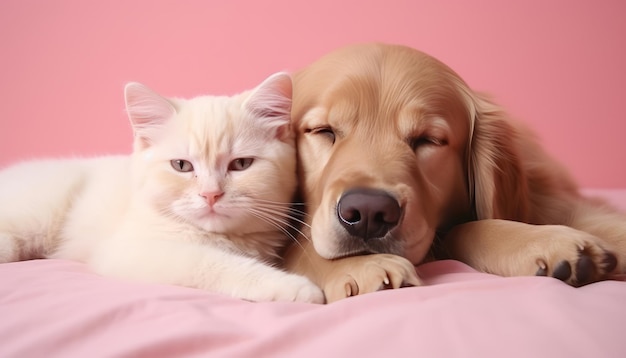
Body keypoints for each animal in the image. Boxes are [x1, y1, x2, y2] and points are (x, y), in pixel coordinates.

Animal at [0, 73, 322, 304]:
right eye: (181, 166)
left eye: (241, 164)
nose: (211, 194)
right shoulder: (132, 250)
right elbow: (209, 262)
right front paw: (290, 285)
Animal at [284, 43, 624, 304]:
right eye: (323, 130)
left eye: (428, 140)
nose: (369, 212)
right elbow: (300, 248)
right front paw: (361, 265)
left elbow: (471, 227)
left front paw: (541, 241)